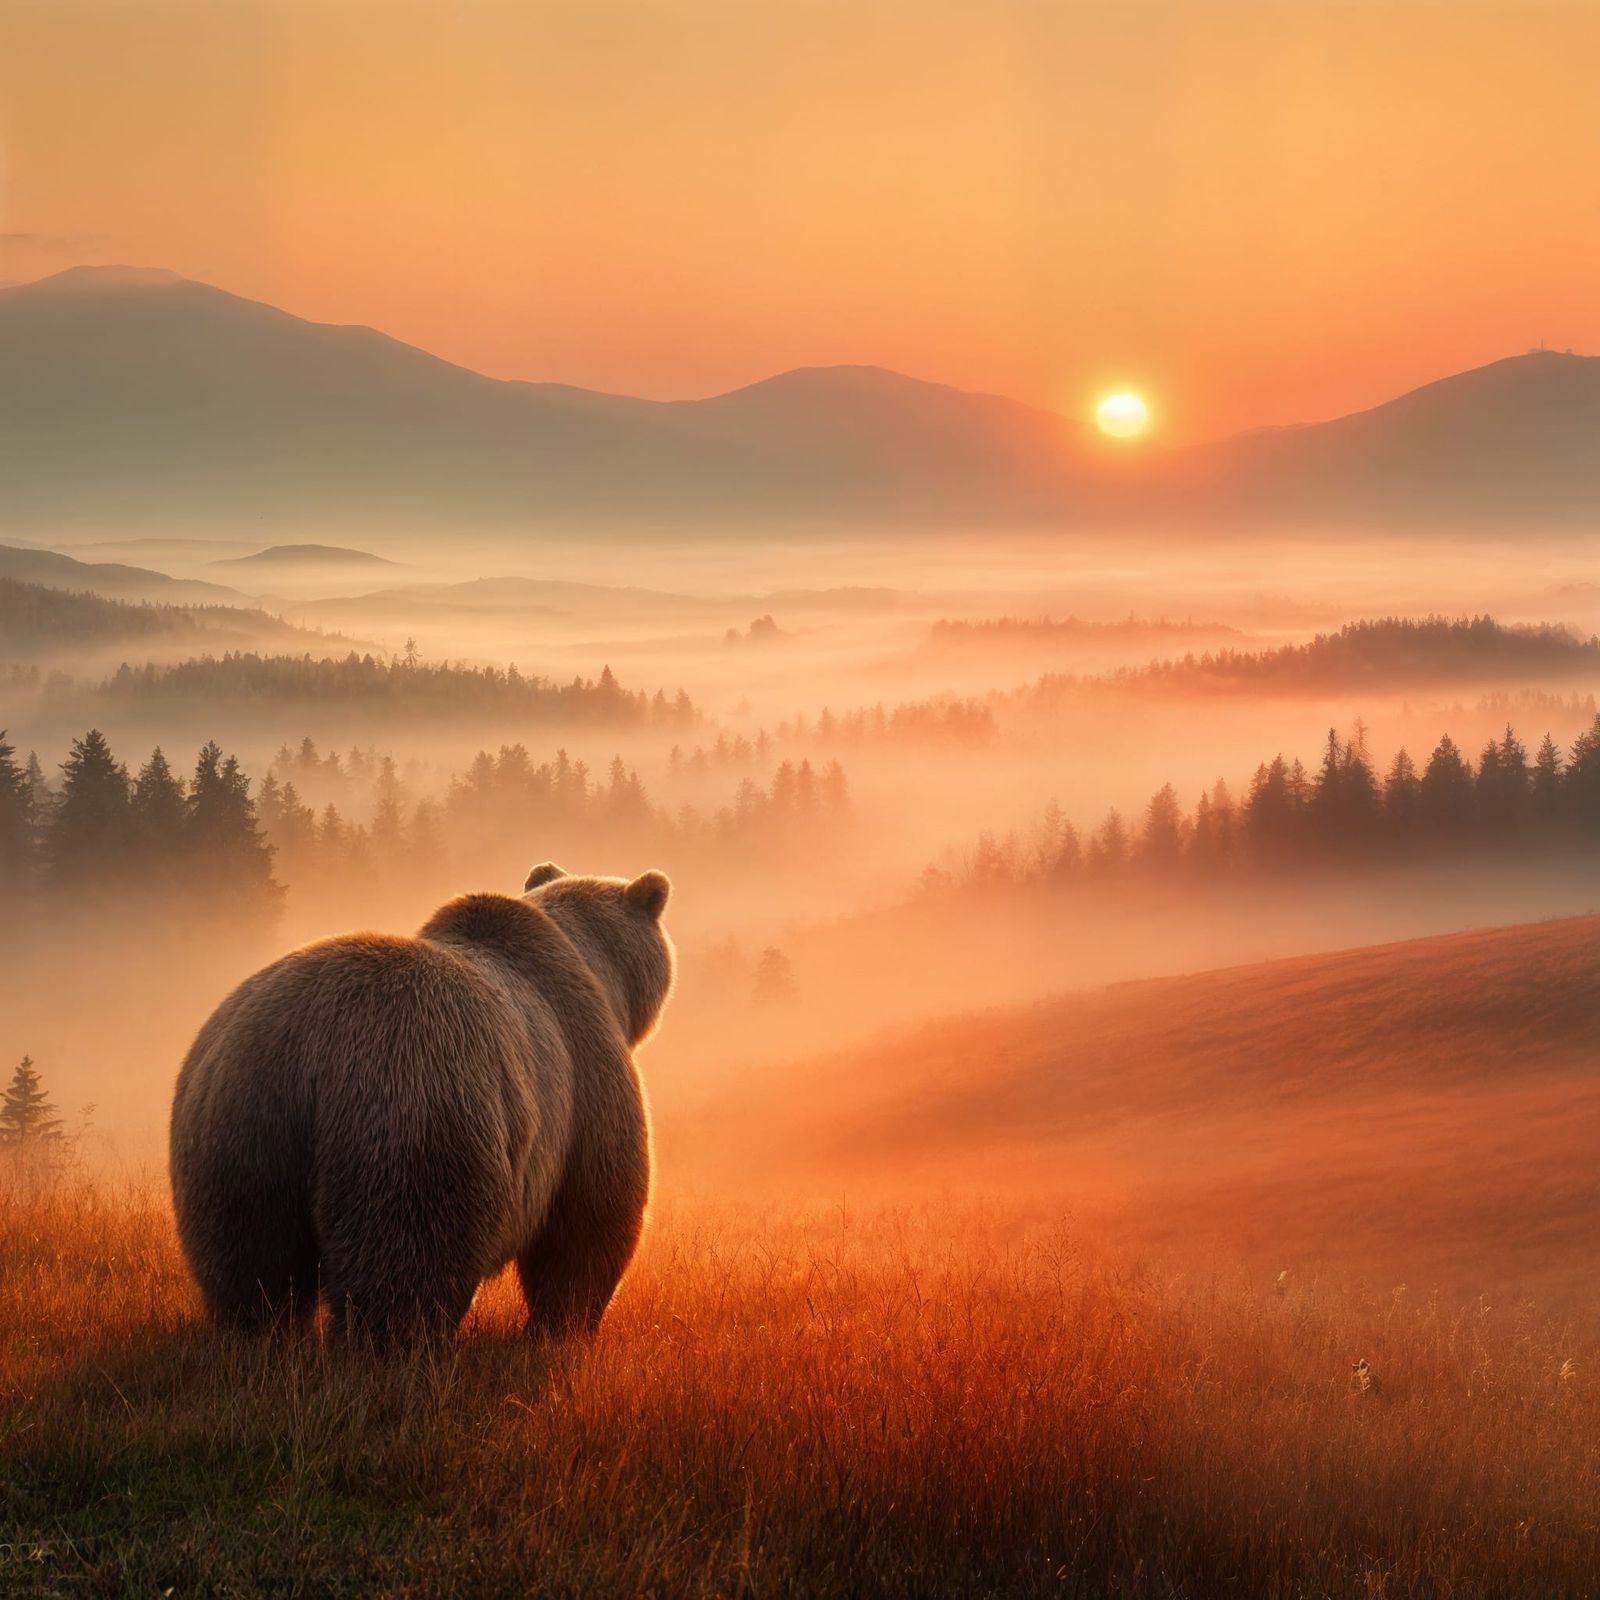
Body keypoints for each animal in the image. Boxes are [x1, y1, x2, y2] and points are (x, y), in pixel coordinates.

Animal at [168, 863, 673, 1342]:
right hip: (415, 1109)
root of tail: (309, 1052)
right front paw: (562, 1327)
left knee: (251, 1262)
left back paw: (261, 1335)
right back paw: (395, 1346)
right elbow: (592, 1214)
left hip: (238, 1119)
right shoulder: (583, 1077)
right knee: (406, 1259)